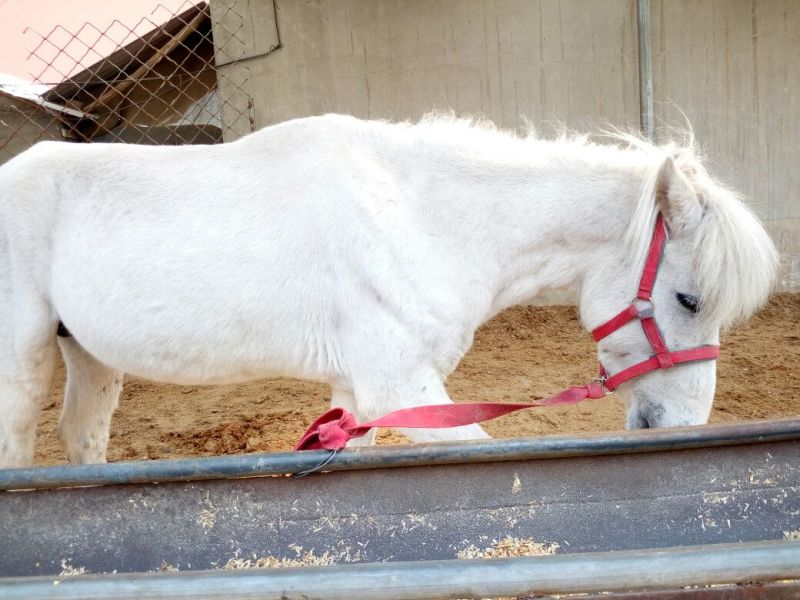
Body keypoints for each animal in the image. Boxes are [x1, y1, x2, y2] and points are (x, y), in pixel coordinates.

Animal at [0, 113, 778, 468]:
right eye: (688, 300)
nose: (680, 425)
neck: (418, 219)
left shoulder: (357, 394)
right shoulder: (401, 385)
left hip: (91, 358)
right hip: (22, 360)